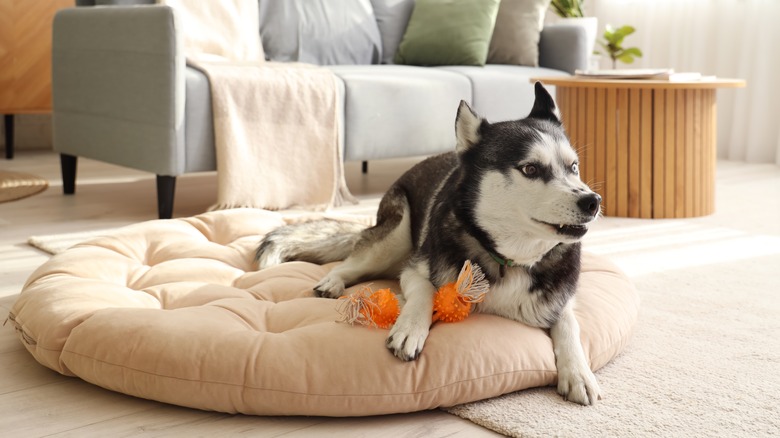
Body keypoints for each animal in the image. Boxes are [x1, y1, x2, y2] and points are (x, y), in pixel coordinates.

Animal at [256, 84, 604, 406]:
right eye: (530, 169)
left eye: (573, 167)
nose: (593, 201)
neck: (509, 257)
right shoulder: (414, 269)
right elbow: (424, 290)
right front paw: (410, 328)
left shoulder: (561, 298)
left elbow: (569, 323)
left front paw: (578, 372)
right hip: (394, 237)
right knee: (353, 260)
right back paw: (333, 281)